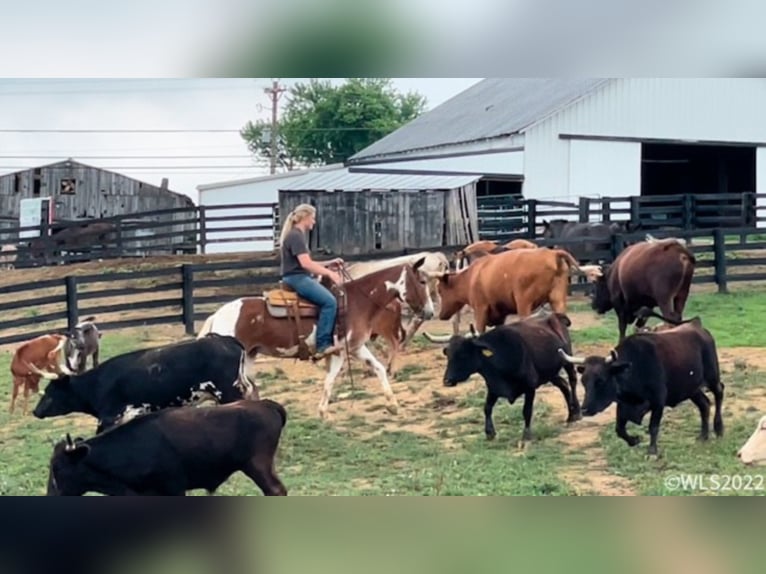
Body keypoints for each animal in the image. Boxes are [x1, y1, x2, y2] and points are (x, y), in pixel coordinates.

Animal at [31, 336, 258, 434]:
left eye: (51, 391)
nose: (35, 411)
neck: (97, 383)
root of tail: (227, 340)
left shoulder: (110, 418)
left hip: (228, 392)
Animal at [46, 400, 290, 500]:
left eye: (58, 468)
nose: (50, 495)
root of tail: (266, 404)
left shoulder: (174, 488)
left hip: (258, 466)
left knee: (275, 491)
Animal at [440, 316, 580, 446]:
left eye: (463, 354)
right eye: (449, 355)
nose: (447, 381)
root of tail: (555, 317)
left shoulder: (530, 387)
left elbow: (526, 411)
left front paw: (526, 435)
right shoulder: (493, 388)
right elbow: (487, 408)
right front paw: (489, 432)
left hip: (567, 360)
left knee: (572, 380)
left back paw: (577, 412)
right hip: (550, 373)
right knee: (563, 385)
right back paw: (570, 415)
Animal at [560, 310, 724, 460]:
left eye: (601, 380)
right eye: (583, 381)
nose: (585, 409)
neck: (634, 367)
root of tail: (697, 325)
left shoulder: (658, 400)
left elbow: (653, 426)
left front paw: (652, 452)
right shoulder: (623, 405)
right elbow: (619, 429)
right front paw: (634, 440)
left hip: (712, 377)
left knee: (719, 392)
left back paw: (719, 429)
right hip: (691, 388)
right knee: (704, 404)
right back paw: (703, 436)